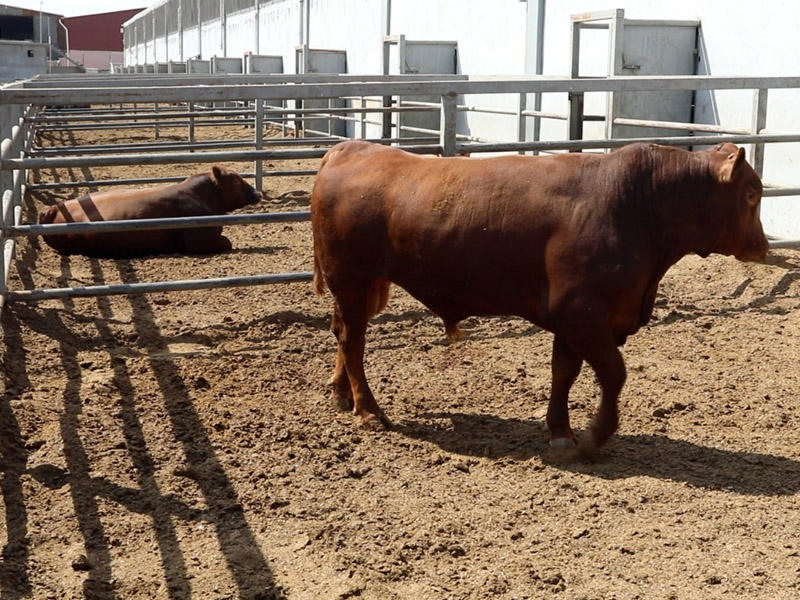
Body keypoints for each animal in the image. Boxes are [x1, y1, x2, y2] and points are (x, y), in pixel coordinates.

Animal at [310, 142, 768, 460]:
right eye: (751, 194)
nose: (763, 247)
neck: (637, 206)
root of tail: (352, 147)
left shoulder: (575, 321)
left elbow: (564, 373)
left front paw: (561, 433)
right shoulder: (582, 313)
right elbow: (613, 374)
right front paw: (593, 437)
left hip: (366, 286)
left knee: (342, 333)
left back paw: (342, 394)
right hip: (352, 279)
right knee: (353, 341)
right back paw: (369, 410)